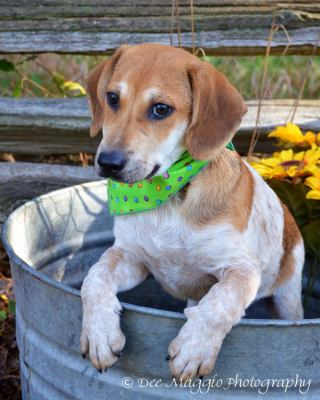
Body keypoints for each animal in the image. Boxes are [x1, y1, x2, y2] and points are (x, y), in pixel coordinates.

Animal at [79, 43, 302, 382]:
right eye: (112, 98)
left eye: (161, 109)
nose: (108, 163)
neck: (168, 199)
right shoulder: (131, 257)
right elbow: (93, 277)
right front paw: (99, 334)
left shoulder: (241, 271)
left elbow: (220, 303)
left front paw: (193, 349)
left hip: (288, 299)